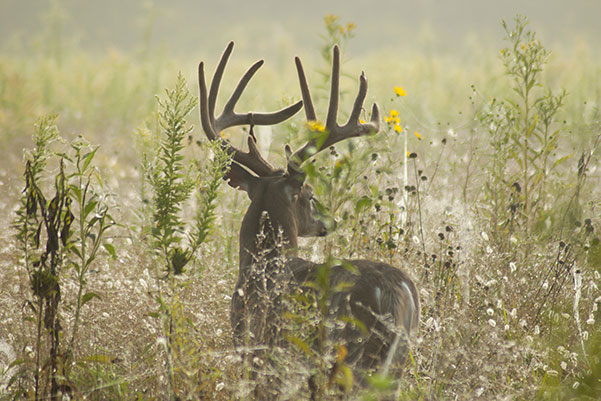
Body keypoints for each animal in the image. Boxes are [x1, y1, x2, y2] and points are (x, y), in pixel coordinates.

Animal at [197, 41, 418, 396]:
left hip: (354, 359)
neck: (262, 261)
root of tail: (401, 291)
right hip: (393, 366)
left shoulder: (254, 348)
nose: (330, 221)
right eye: (311, 196)